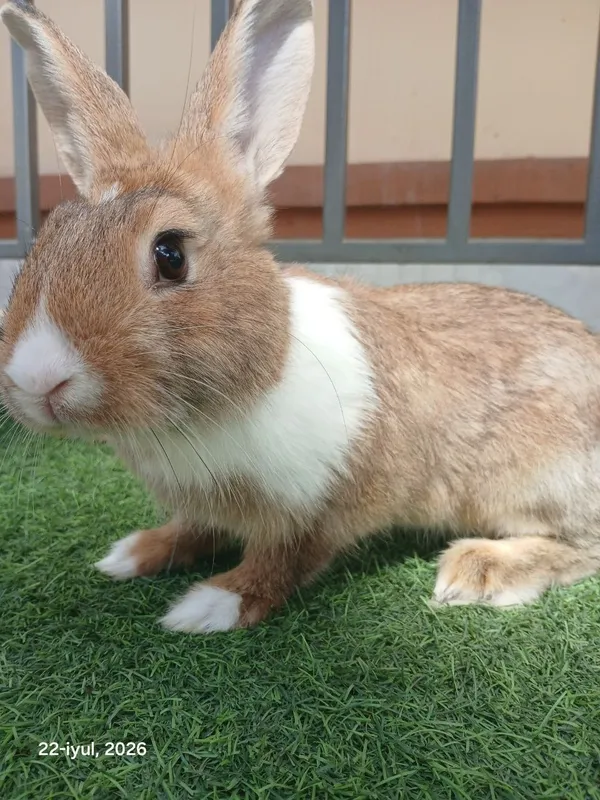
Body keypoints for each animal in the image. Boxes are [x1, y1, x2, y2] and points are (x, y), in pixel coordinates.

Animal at [2, 0, 600, 635]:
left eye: (170, 254)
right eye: (48, 235)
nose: (37, 379)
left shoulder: (322, 506)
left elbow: (283, 559)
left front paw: (212, 604)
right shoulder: (202, 504)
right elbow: (191, 530)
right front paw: (134, 553)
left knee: (583, 545)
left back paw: (481, 570)